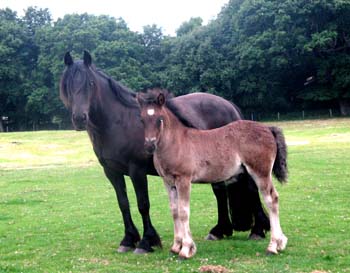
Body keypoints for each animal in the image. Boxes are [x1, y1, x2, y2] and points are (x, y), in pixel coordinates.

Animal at [58, 50, 270, 253]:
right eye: (67, 85)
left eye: (90, 83)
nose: (79, 118)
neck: (118, 123)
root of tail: (230, 106)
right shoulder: (112, 172)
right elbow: (123, 204)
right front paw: (128, 240)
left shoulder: (137, 171)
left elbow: (143, 204)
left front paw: (146, 242)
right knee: (220, 192)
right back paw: (219, 231)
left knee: (251, 189)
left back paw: (257, 231)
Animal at [136, 89, 288, 258]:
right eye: (142, 119)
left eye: (160, 119)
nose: (149, 145)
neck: (176, 142)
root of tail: (268, 129)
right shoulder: (168, 182)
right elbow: (174, 211)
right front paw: (175, 247)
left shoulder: (183, 180)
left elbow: (183, 211)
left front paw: (186, 249)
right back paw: (280, 243)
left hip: (260, 172)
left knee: (271, 199)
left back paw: (273, 246)